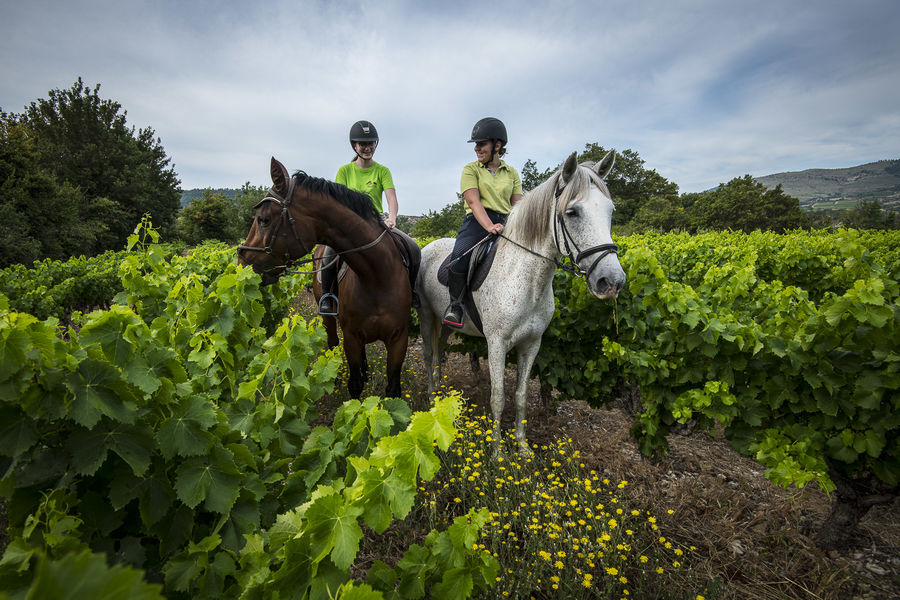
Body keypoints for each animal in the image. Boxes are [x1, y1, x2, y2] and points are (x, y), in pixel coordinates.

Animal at [237, 157, 417, 399]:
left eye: (263, 219)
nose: (242, 262)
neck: (377, 276)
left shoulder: (399, 339)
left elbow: (393, 389)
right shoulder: (351, 336)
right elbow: (355, 385)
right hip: (329, 318)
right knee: (332, 342)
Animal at [416, 151, 626, 453]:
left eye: (610, 211)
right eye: (572, 212)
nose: (612, 281)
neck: (527, 281)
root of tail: (428, 247)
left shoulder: (531, 344)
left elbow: (521, 395)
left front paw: (522, 446)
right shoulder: (497, 344)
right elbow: (498, 397)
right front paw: (496, 452)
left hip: (444, 323)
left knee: (439, 352)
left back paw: (442, 394)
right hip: (425, 315)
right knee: (428, 353)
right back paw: (433, 397)